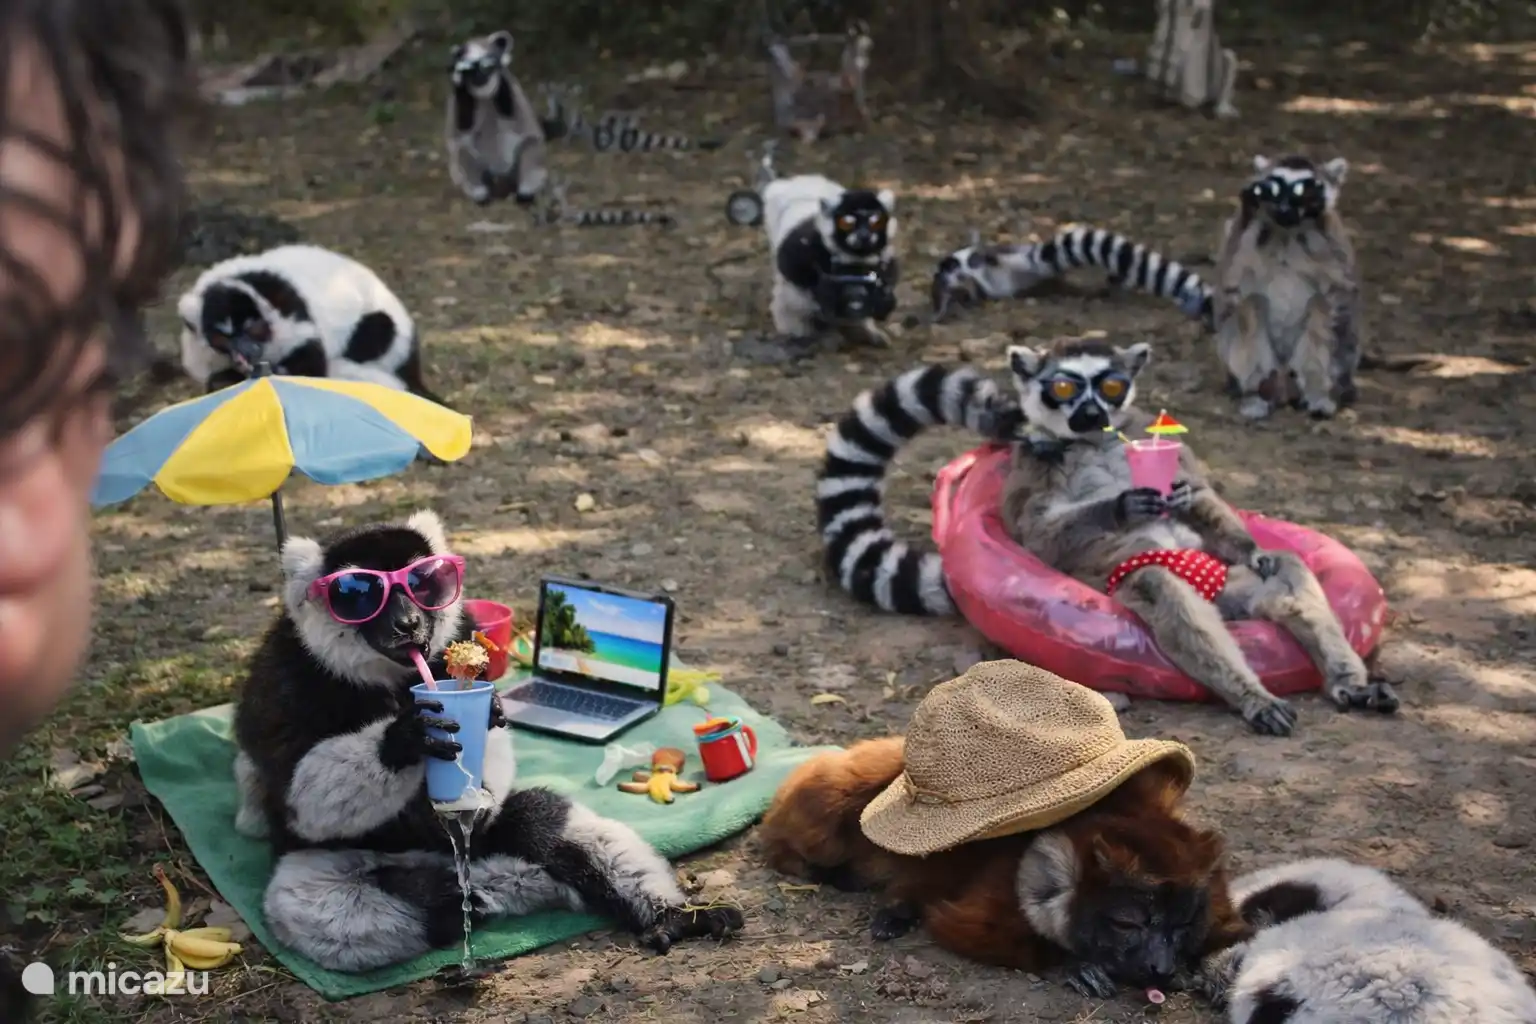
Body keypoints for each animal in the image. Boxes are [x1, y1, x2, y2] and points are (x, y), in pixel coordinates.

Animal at [759, 739, 1251, 999]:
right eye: (1128, 924)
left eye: (1182, 925)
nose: (1160, 967)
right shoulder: (1004, 887)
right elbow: (969, 928)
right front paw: (1073, 965)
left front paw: (1206, 967)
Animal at [1214, 155, 1360, 420]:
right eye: (1275, 189)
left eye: (1305, 194)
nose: (1283, 209)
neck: (1287, 233)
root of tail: (1283, 386)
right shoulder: (1245, 238)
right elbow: (1231, 284)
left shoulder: (1330, 238)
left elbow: (1341, 290)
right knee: (1250, 303)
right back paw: (1254, 393)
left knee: (1322, 306)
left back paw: (1317, 392)